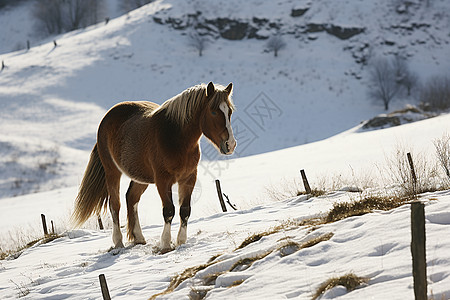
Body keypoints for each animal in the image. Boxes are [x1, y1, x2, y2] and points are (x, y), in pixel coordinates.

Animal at [71, 82, 236, 251]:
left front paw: (181, 241)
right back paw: (118, 242)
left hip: (140, 177)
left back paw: (138, 238)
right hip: (112, 172)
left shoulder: (189, 178)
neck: (176, 137)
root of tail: (107, 117)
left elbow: (185, 210)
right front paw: (165, 244)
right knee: (114, 205)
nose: (230, 144)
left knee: (131, 198)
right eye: (214, 111)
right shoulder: (163, 180)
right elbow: (169, 210)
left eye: (229, 111)